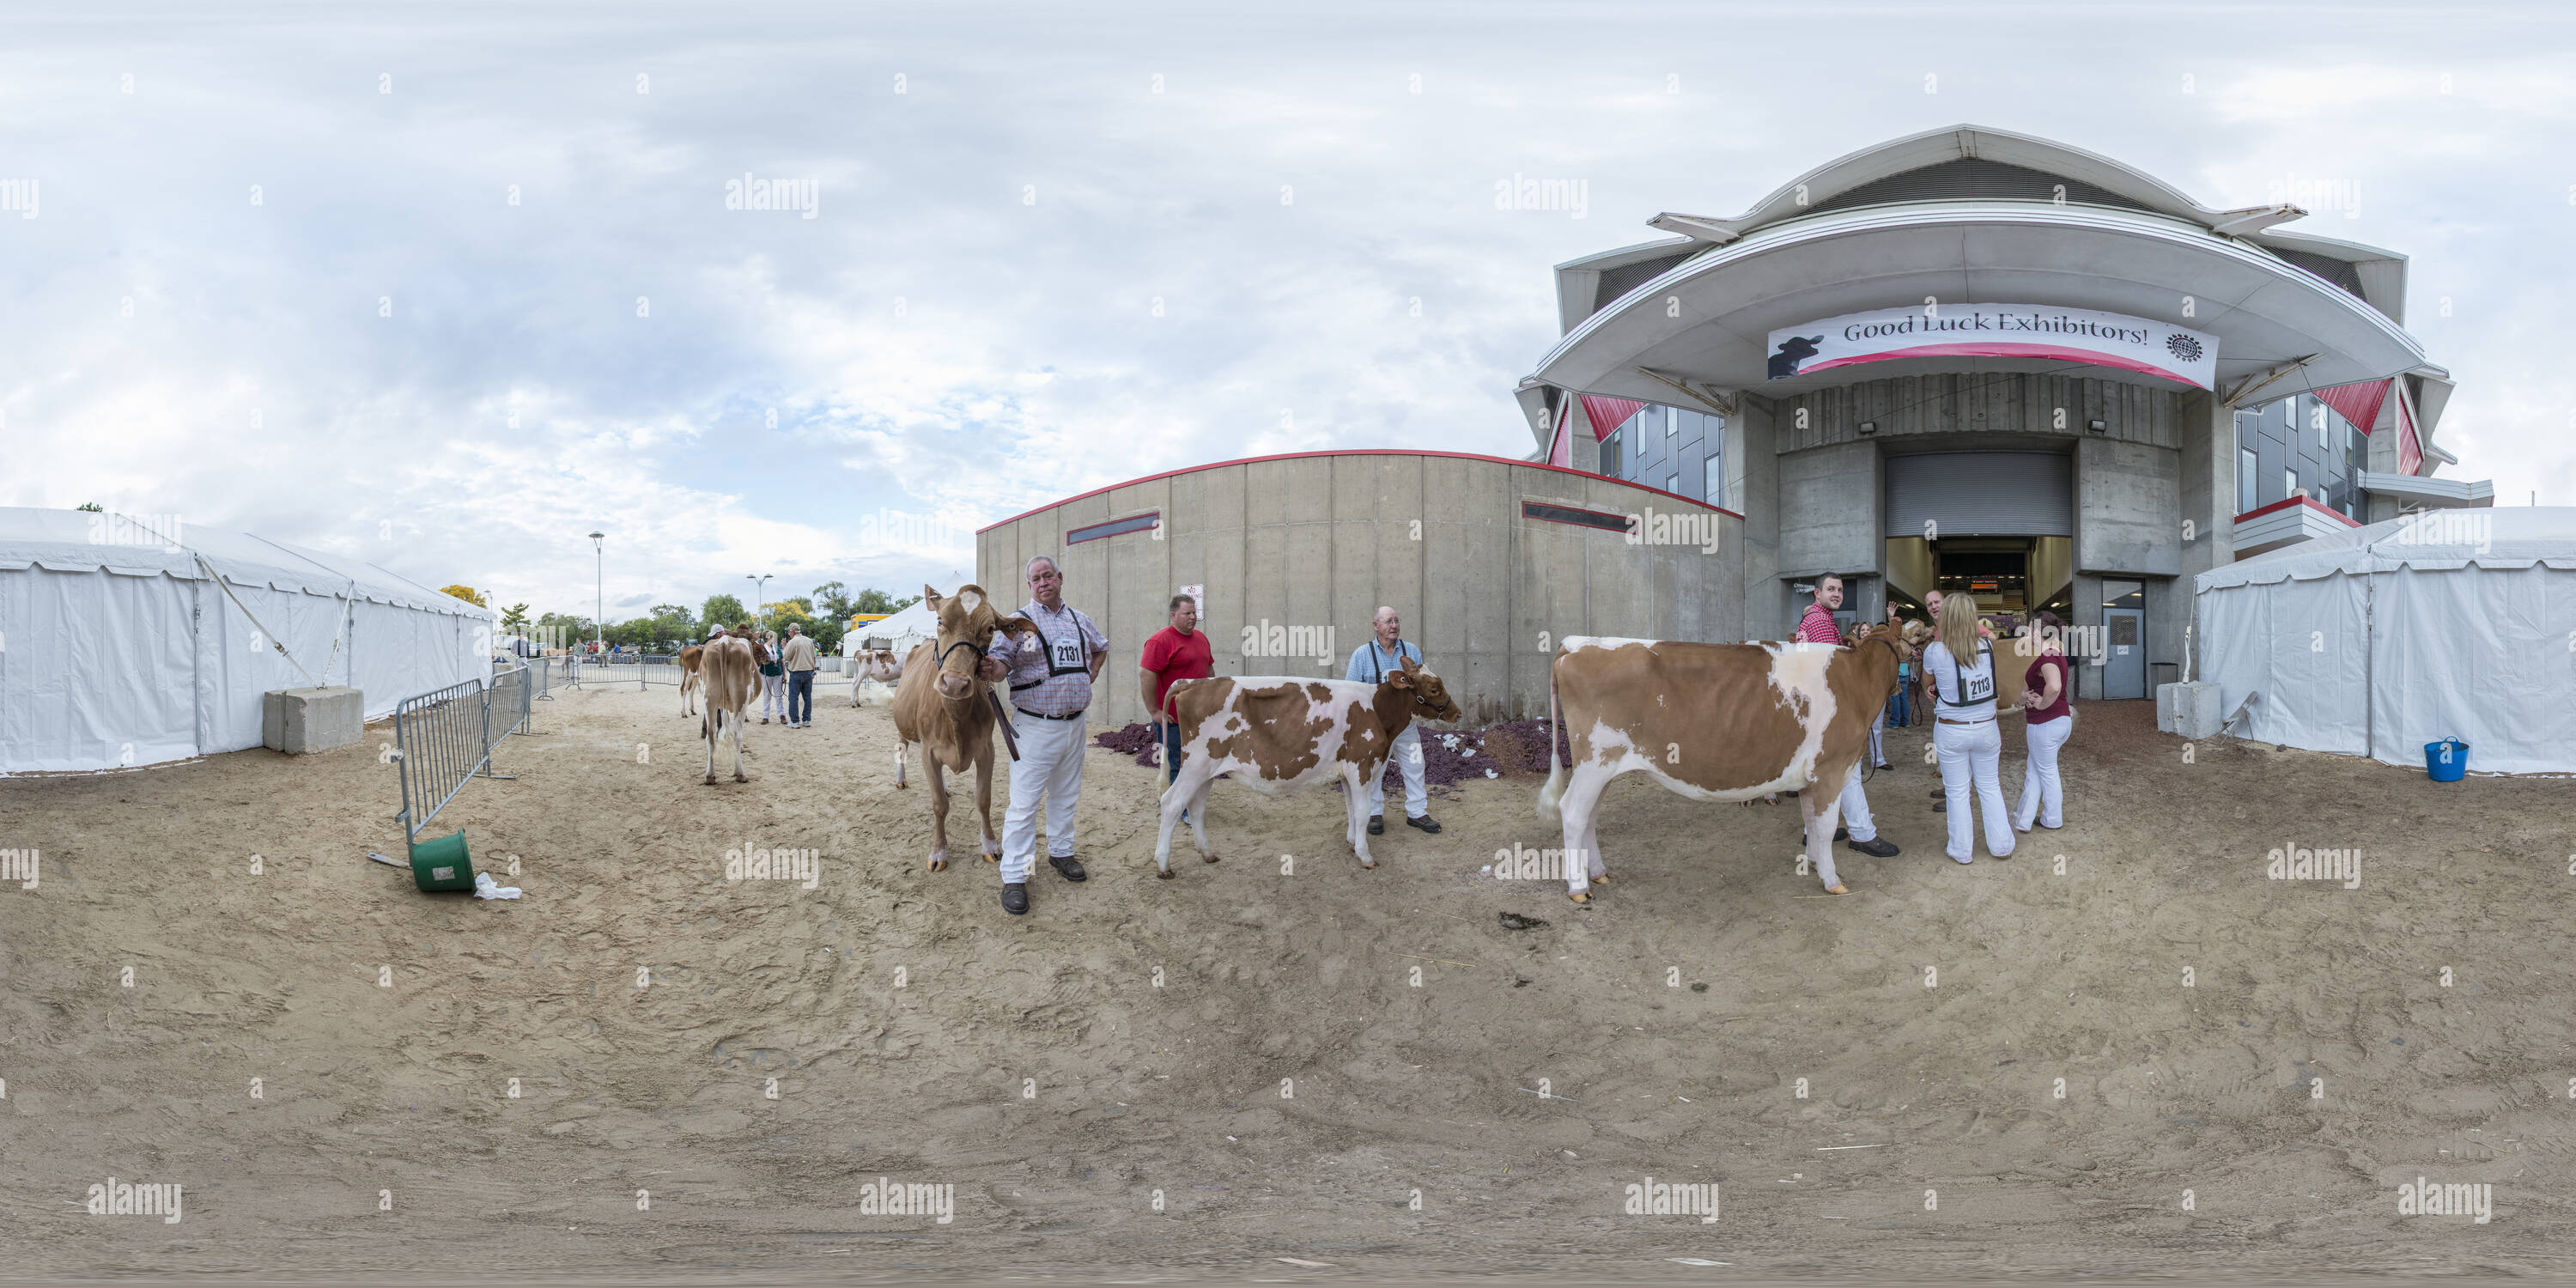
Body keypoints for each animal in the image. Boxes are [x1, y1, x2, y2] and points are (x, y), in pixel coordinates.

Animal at [896, 587, 1036, 871]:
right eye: (940, 620)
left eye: (991, 628)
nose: (953, 683)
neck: (955, 721)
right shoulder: (929, 751)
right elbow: (939, 804)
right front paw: (938, 852)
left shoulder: (987, 750)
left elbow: (983, 800)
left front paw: (990, 846)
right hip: (904, 725)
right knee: (902, 747)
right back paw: (900, 779)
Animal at [1159, 659, 1463, 881]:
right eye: (1434, 689)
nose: (1457, 713)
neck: (1377, 710)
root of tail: (1194, 682)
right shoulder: (1361, 766)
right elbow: (1363, 812)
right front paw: (1365, 856)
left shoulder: (1346, 770)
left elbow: (1351, 809)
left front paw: (1352, 843)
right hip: (1195, 764)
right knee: (1172, 803)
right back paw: (1163, 867)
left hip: (1207, 770)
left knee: (1196, 807)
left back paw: (1208, 854)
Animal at [1525, 618, 1917, 902]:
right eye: (1912, 643)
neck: (1855, 681)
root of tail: (1576, 643)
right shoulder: (1832, 769)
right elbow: (1824, 825)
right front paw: (1832, 878)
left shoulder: (1811, 778)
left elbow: (1811, 822)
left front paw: (1816, 863)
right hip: (1595, 761)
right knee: (1573, 812)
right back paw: (1578, 887)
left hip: (1601, 767)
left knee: (1589, 816)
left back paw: (1598, 873)